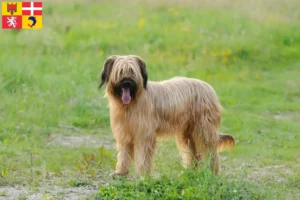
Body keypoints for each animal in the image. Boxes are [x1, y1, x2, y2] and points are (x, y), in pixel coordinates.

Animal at [98, 54, 234, 175]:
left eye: (132, 72)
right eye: (120, 72)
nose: (127, 82)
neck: (130, 104)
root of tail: (209, 88)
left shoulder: (144, 134)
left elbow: (143, 155)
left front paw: (143, 174)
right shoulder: (124, 133)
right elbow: (124, 153)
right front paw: (121, 171)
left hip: (204, 129)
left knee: (211, 151)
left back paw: (212, 171)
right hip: (188, 133)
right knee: (194, 152)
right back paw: (192, 171)